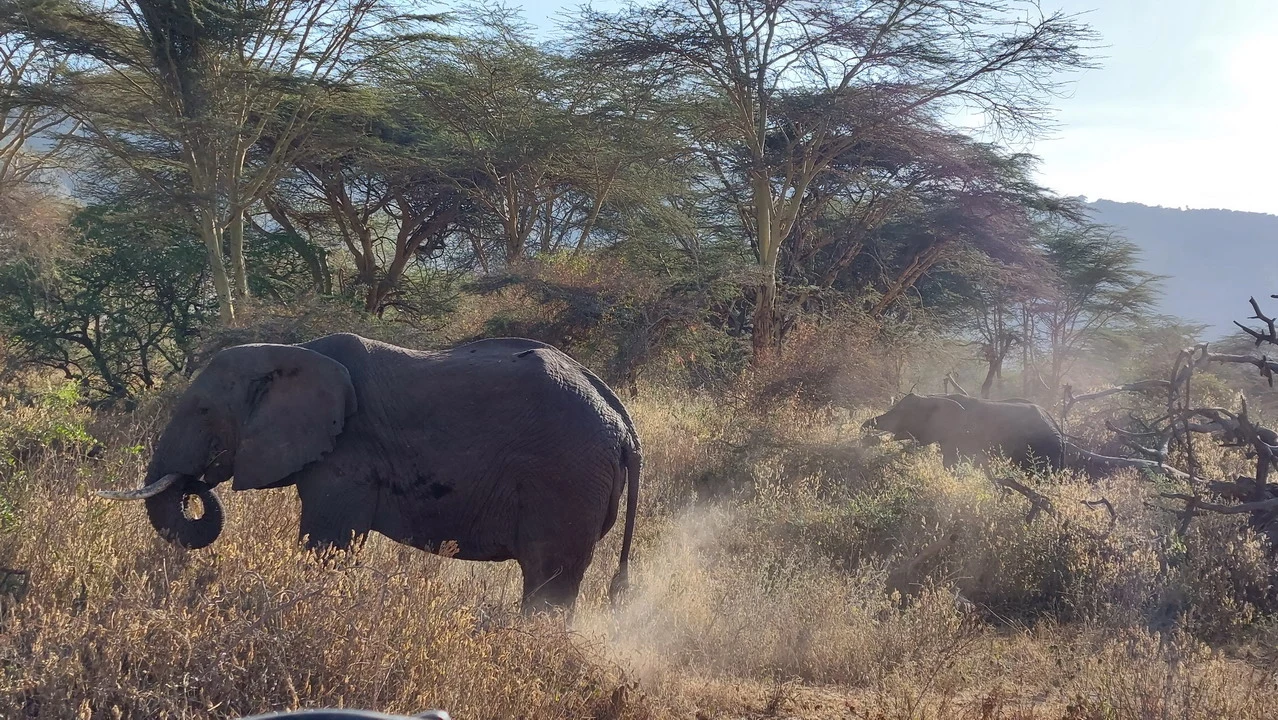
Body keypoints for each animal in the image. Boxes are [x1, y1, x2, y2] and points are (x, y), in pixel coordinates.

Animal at [98, 333, 641, 614]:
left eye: (204, 411)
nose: (197, 483)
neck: (291, 351)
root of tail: (622, 421)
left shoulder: (349, 455)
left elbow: (327, 544)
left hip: (566, 479)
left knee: (548, 580)